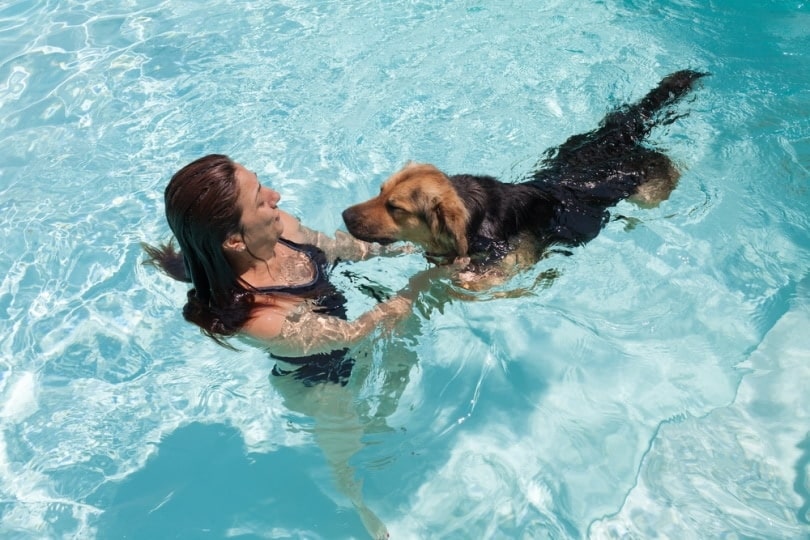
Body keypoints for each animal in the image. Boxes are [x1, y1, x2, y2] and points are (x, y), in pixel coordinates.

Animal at [340, 71, 708, 292]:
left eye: (395, 207)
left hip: (650, 187)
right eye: (380, 191)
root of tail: (617, 136)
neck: (477, 219)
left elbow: (469, 281)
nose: (343, 216)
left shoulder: (510, 265)